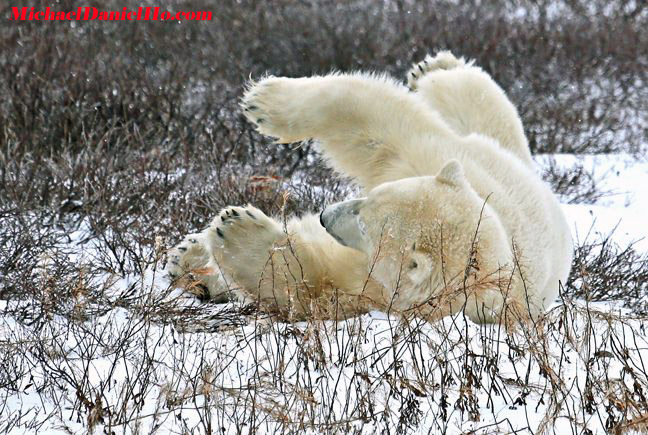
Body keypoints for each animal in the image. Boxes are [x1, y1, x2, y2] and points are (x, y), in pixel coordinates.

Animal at [167, 52, 572, 324]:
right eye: (373, 195)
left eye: (366, 227)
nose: (325, 215)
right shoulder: (426, 157)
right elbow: (378, 127)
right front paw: (266, 101)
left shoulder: (383, 294)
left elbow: (308, 283)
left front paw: (237, 230)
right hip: (489, 153)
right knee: (473, 103)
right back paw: (435, 68)